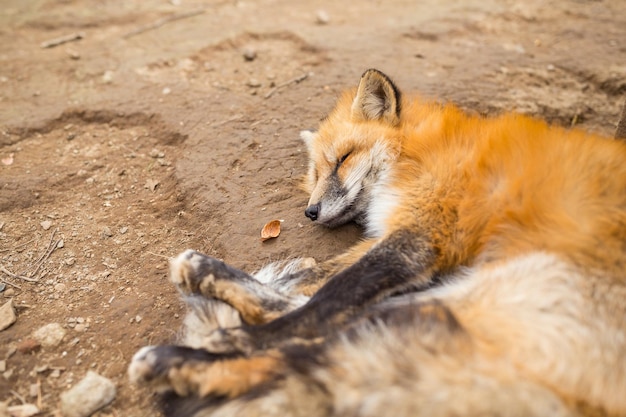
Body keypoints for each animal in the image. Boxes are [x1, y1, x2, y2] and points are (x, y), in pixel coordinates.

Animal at [128, 69, 624, 416]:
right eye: (314, 174)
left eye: (342, 160)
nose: (310, 212)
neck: (417, 152)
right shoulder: (399, 231)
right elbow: (315, 275)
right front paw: (211, 274)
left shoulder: (422, 233)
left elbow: (328, 295)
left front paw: (236, 327)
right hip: (453, 304)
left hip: (486, 304)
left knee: (312, 337)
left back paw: (198, 352)